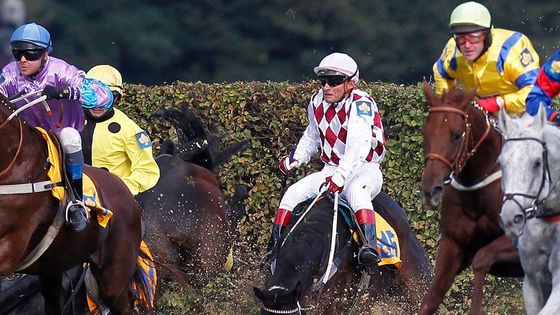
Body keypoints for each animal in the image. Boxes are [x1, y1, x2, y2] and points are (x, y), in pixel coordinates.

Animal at [418, 82, 524, 315]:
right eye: (425, 131)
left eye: (457, 135)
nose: (430, 189)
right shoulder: (452, 245)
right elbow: (431, 299)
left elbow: (482, 258)